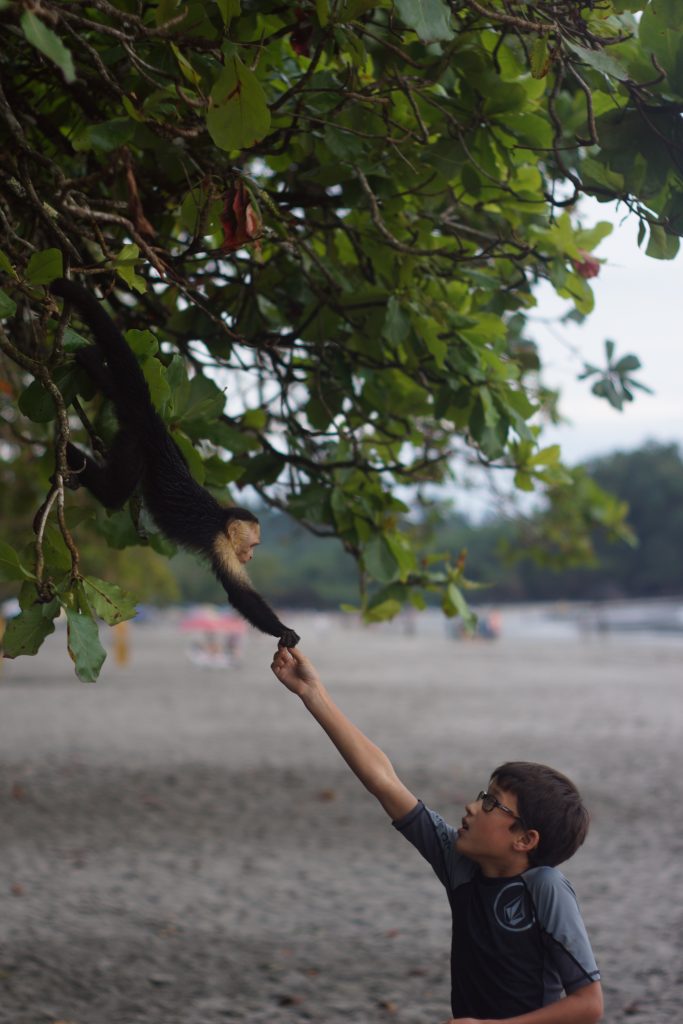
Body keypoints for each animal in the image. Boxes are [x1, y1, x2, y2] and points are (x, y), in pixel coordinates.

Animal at [50, 280, 299, 647]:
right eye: (253, 546)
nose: (251, 557)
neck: (222, 519)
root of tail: (158, 430)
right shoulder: (220, 543)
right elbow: (239, 595)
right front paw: (284, 631)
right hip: (140, 437)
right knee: (114, 493)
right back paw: (66, 450)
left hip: (136, 433)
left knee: (117, 393)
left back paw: (90, 365)